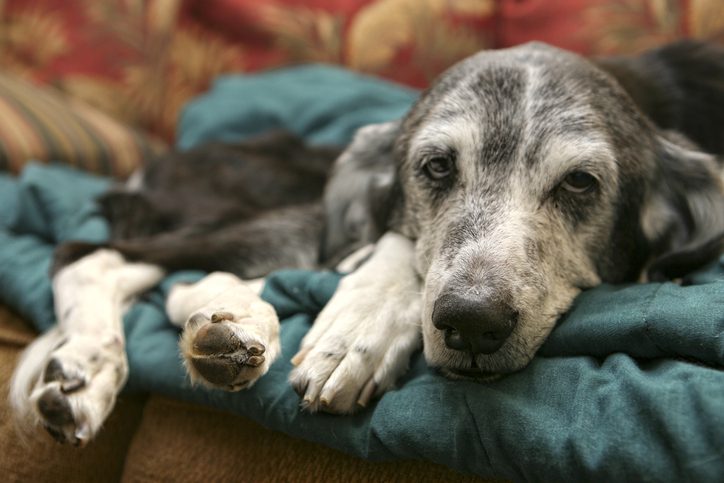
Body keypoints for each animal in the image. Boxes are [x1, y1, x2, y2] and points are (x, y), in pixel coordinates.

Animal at [7, 39, 724, 444]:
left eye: (579, 182)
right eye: (436, 167)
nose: (472, 322)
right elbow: (398, 249)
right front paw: (359, 329)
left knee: (174, 279)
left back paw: (224, 330)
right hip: (292, 218)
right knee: (89, 255)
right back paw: (98, 363)